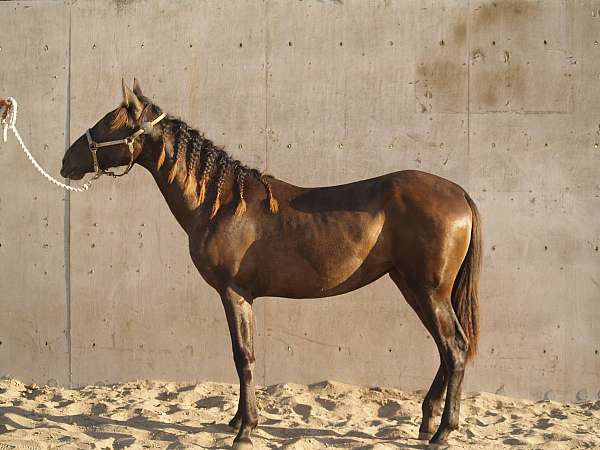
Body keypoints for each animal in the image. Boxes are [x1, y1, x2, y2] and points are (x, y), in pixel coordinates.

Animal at [61, 79, 482, 448]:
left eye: (107, 122)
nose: (66, 161)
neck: (221, 204)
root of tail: (459, 193)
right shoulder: (244, 296)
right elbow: (245, 355)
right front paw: (238, 420)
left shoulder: (234, 293)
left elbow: (243, 357)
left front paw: (245, 430)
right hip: (412, 287)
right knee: (446, 350)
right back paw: (427, 423)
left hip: (429, 291)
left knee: (455, 348)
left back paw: (443, 432)